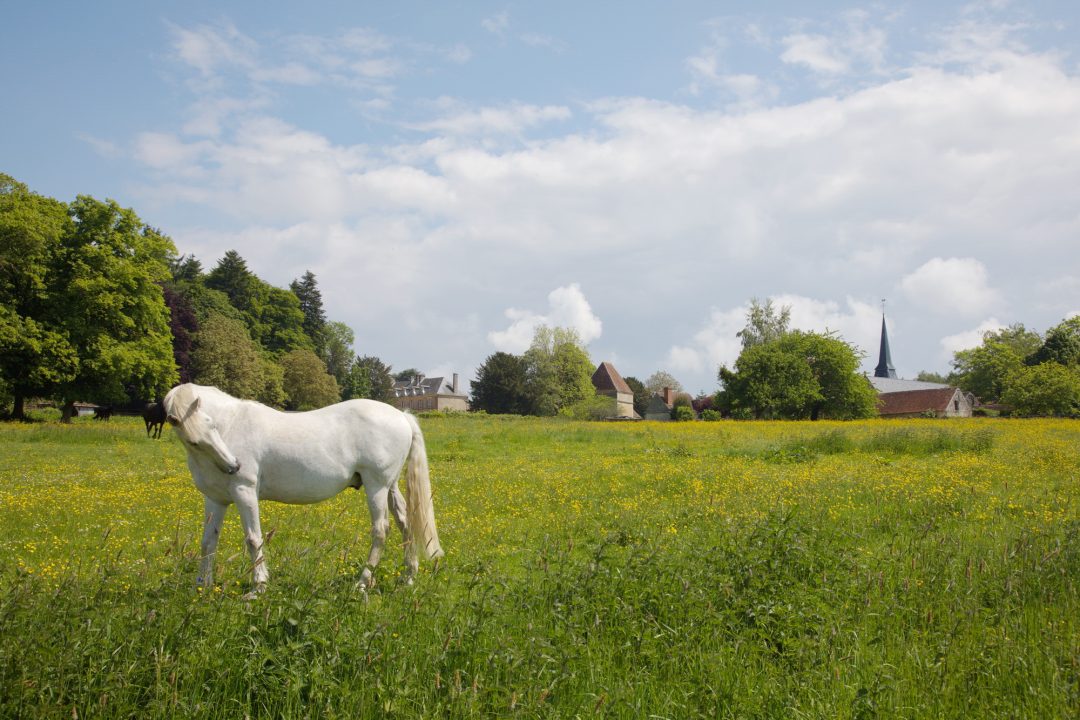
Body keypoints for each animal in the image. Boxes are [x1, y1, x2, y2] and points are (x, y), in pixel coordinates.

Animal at [164, 382, 442, 595]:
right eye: (193, 440)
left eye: (211, 425)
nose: (234, 465)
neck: (232, 424)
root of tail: (402, 416)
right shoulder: (215, 499)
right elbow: (208, 542)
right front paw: (202, 586)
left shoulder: (245, 492)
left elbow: (253, 539)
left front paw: (258, 587)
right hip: (390, 486)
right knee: (405, 523)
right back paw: (408, 576)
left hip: (376, 486)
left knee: (381, 531)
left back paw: (362, 582)